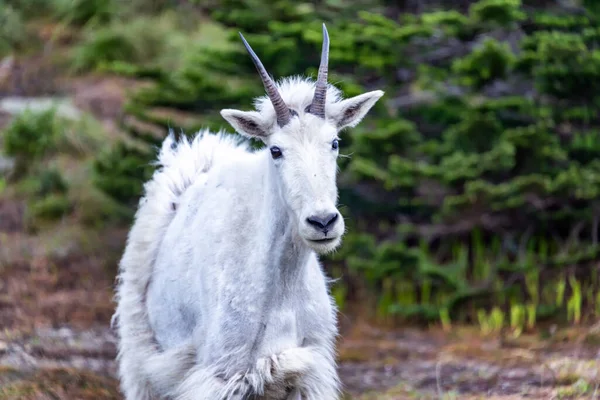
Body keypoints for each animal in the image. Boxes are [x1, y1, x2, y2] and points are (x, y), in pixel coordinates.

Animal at [112, 25, 384, 400]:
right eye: (276, 150)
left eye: (335, 142)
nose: (323, 222)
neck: (281, 285)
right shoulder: (221, 376)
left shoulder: (306, 374)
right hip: (144, 359)